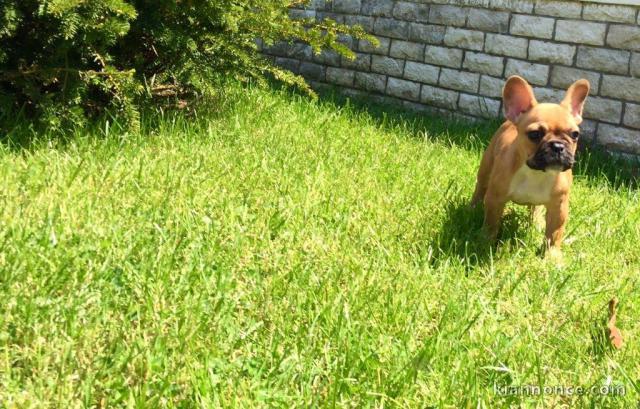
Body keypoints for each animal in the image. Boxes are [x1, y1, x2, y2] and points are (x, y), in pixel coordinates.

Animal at [470, 75, 592, 253]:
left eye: (575, 134)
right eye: (535, 134)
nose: (558, 146)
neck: (536, 172)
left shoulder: (559, 207)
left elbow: (555, 233)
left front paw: (552, 255)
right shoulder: (495, 199)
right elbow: (491, 224)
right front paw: (485, 242)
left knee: (536, 209)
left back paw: (536, 222)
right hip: (486, 168)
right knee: (480, 187)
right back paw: (472, 207)